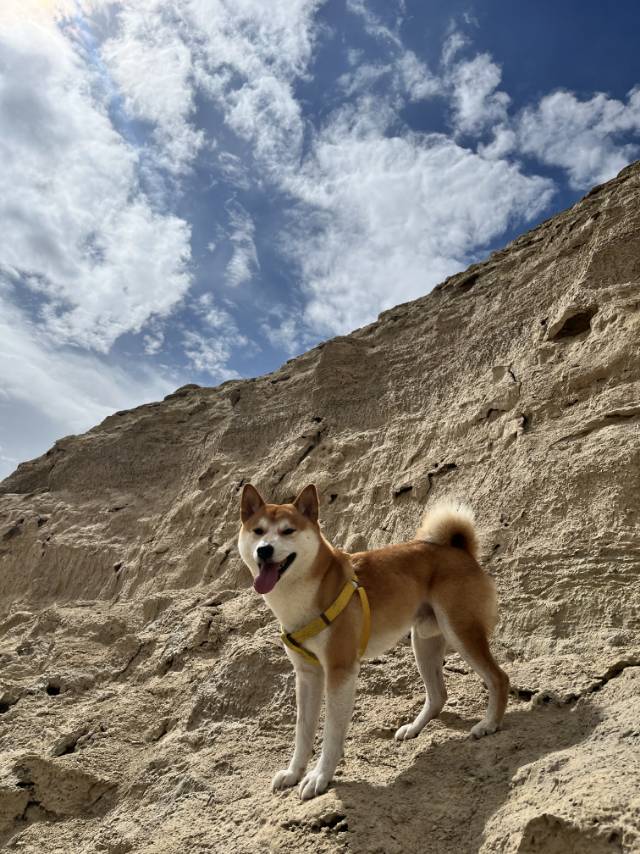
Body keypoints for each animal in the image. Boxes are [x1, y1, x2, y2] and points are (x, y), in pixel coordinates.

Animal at [236, 488, 510, 804]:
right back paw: (414, 728)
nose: (264, 550)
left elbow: (331, 733)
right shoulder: (307, 675)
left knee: (499, 678)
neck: (304, 593)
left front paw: (319, 776)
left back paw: (489, 724)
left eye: (287, 531)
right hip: (423, 643)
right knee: (439, 695)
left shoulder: (341, 672)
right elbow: (302, 732)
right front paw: (294, 772)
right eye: (258, 531)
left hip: (460, 632)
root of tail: (459, 549)